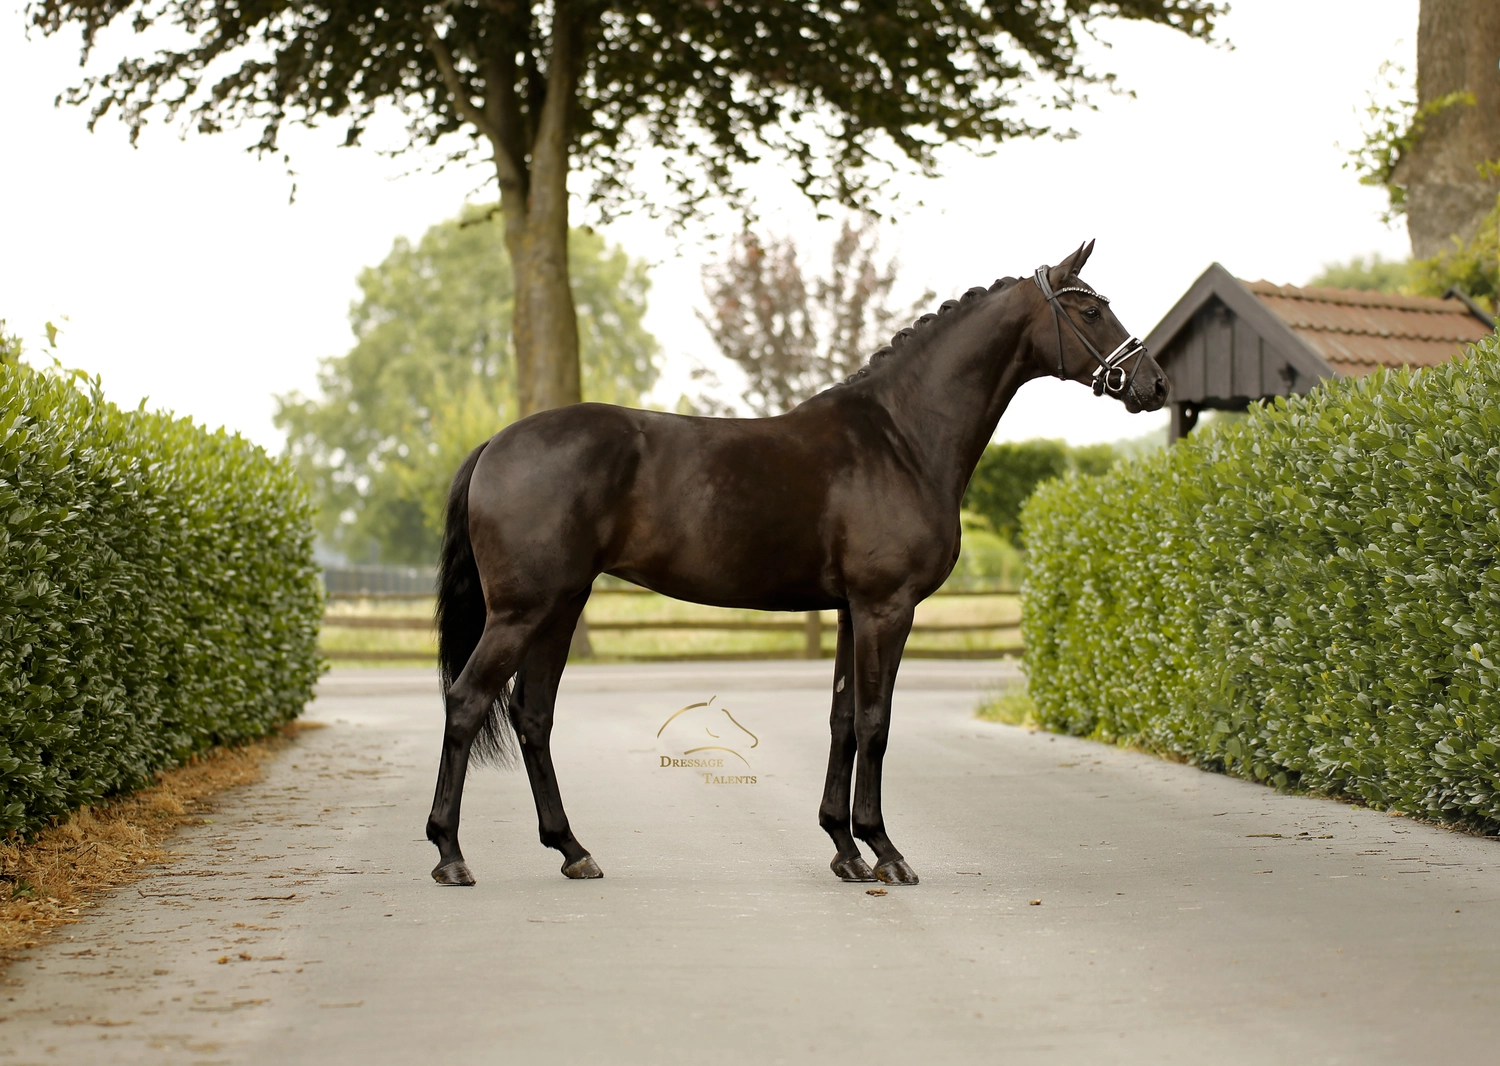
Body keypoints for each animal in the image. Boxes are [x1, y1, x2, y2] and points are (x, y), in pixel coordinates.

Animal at [427, 240, 1168, 887]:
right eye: (1090, 311)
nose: (1153, 383)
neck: (899, 437)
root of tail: (496, 444)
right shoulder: (886, 607)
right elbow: (875, 721)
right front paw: (884, 851)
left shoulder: (849, 611)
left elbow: (843, 720)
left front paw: (844, 849)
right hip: (524, 611)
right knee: (466, 703)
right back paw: (451, 854)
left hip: (560, 607)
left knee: (532, 716)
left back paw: (572, 850)